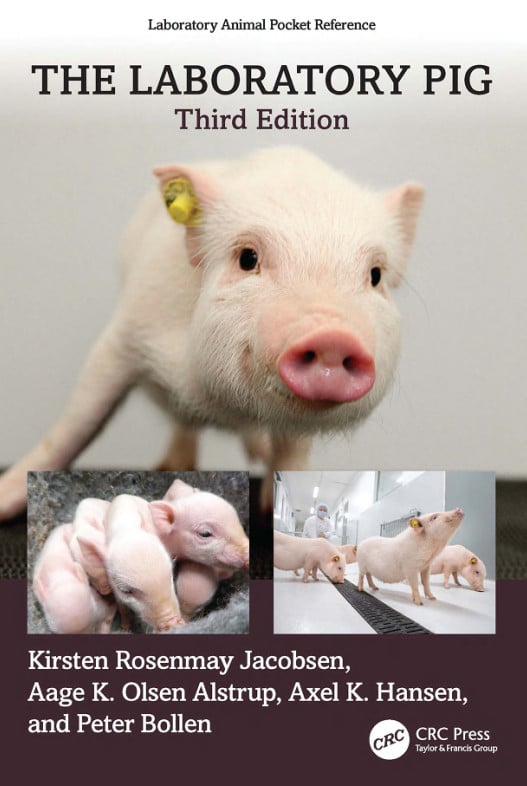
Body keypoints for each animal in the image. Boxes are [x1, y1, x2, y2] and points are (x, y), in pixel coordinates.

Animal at [0, 147, 424, 519]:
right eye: (248, 258)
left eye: (375, 275)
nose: (333, 336)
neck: (226, 406)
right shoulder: (128, 331)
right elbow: (77, 422)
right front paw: (6, 502)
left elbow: (291, 453)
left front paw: (269, 508)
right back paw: (173, 463)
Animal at [77, 494, 184, 631]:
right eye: (126, 591)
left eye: (170, 575)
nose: (172, 622)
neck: (126, 530)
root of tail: (124, 495)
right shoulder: (116, 593)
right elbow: (123, 610)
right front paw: (124, 629)